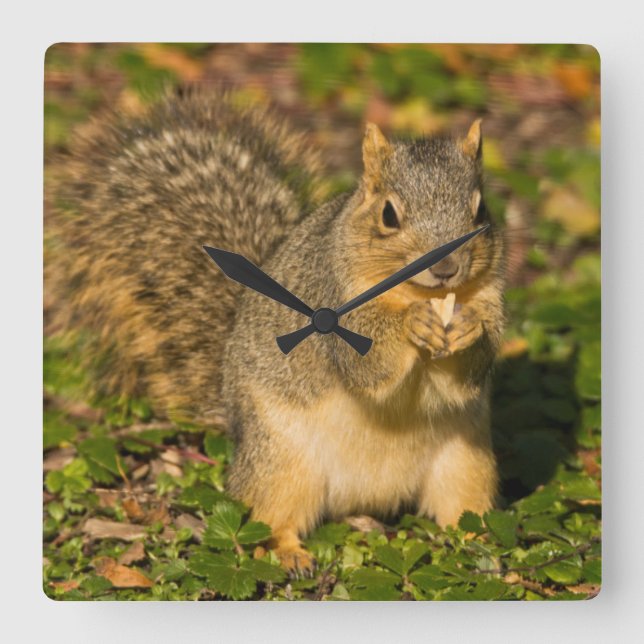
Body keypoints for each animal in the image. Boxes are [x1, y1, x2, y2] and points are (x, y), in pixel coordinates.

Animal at [49, 90, 505, 574]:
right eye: (388, 215)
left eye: (480, 209)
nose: (447, 268)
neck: (417, 293)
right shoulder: (331, 303)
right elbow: (367, 363)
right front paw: (412, 324)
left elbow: (468, 372)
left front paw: (469, 328)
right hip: (281, 462)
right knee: (268, 517)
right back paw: (287, 553)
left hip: (466, 463)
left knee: (461, 509)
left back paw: (480, 542)